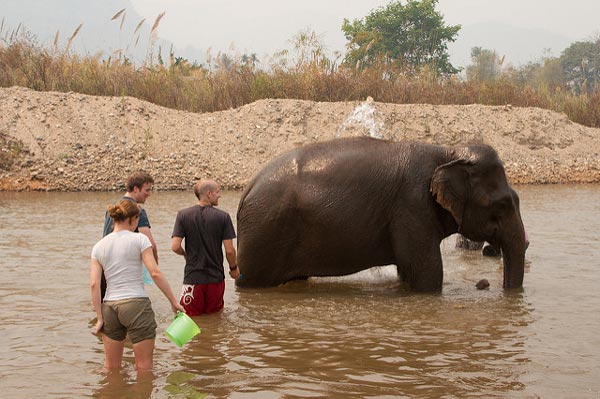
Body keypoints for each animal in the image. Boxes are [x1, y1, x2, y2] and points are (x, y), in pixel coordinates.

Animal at [234, 136, 524, 292]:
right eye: (501, 205)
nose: (485, 284)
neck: (446, 151)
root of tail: (247, 190)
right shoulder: (412, 205)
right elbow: (427, 273)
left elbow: (408, 270)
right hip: (264, 234)